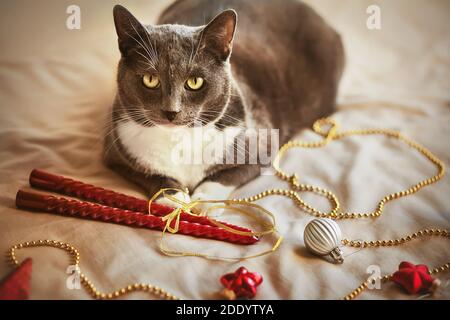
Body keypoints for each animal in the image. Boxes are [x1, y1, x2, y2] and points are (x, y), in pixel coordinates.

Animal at [105, 0, 344, 206]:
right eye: (150, 79)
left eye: (194, 81)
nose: (171, 111)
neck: (179, 138)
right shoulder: (116, 152)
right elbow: (150, 175)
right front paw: (173, 198)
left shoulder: (262, 143)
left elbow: (225, 176)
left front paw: (202, 202)